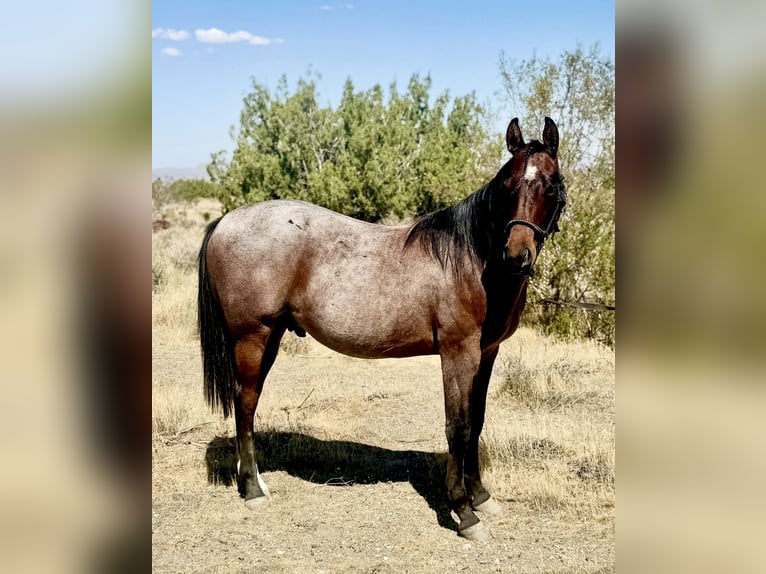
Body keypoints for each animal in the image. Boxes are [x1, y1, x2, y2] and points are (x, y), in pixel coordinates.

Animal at [197, 117, 566, 540]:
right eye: (507, 186)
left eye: (551, 185)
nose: (516, 255)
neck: (470, 259)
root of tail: (225, 221)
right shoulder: (458, 353)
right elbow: (458, 426)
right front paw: (464, 512)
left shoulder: (487, 352)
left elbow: (477, 421)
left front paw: (482, 498)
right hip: (252, 337)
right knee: (245, 403)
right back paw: (254, 490)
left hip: (270, 336)